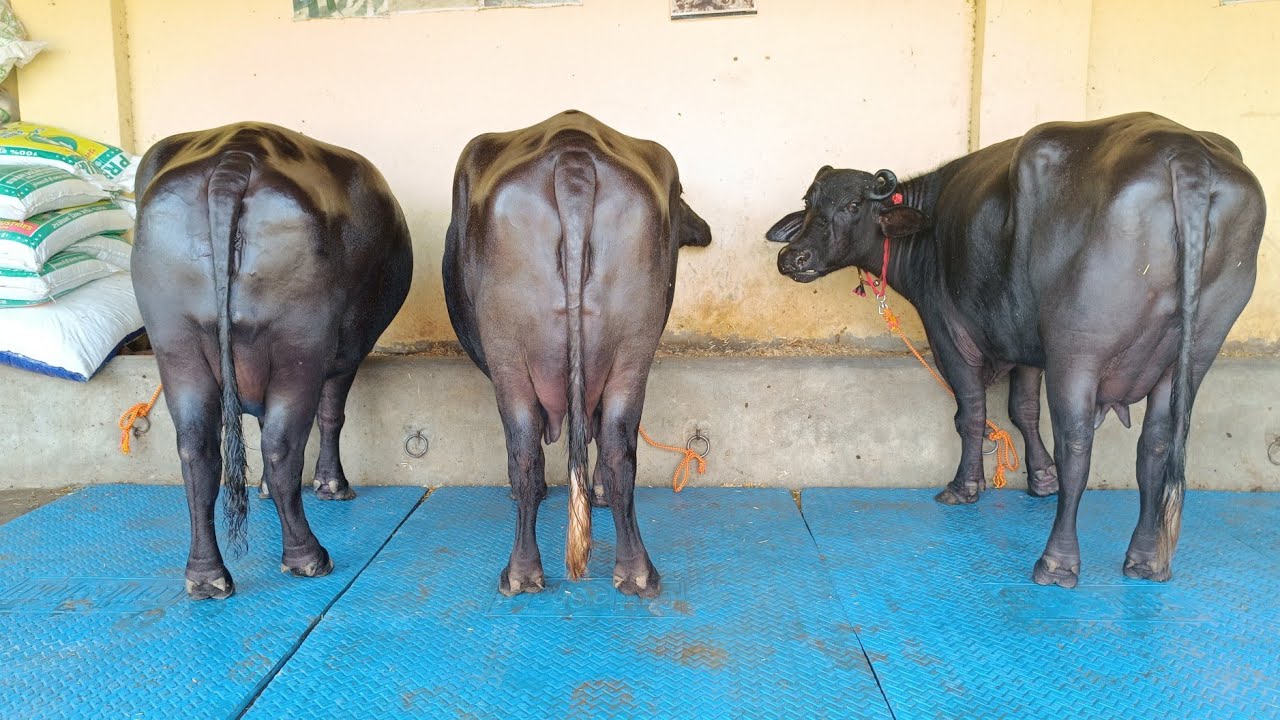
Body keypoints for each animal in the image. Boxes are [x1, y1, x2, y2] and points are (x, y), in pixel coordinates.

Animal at [133, 122, 413, 599]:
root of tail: (237, 155)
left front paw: (266, 487)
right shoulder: (345, 354)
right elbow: (330, 416)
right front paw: (331, 485)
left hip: (175, 343)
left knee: (197, 451)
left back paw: (206, 576)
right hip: (298, 346)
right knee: (282, 445)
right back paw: (308, 556)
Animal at [444, 110, 711, 598]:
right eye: (682, 196)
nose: (703, 230)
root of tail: (573, 155)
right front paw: (598, 493)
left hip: (508, 356)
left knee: (525, 452)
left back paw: (521, 571)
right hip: (631, 352)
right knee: (617, 447)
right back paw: (635, 571)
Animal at [768, 112, 1265, 588]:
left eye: (852, 205)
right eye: (809, 203)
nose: (794, 258)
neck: (928, 227)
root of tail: (1186, 156)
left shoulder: (950, 334)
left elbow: (971, 413)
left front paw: (965, 486)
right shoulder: (1025, 346)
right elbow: (1022, 409)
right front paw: (1041, 480)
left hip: (1076, 350)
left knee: (1078, 443)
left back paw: (1057, 563)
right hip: (1195, 353)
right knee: (1156, 445)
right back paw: (1146, 559)